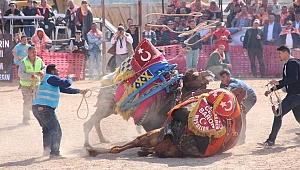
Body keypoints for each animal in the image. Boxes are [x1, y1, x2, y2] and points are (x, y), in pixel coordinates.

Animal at [83, 68, 214, 147]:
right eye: (194, 75)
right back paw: (87, 144)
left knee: (95, 120)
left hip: (107, 108)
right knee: (89, 122)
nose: (210, 73)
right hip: (107, 106)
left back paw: (103, 140)